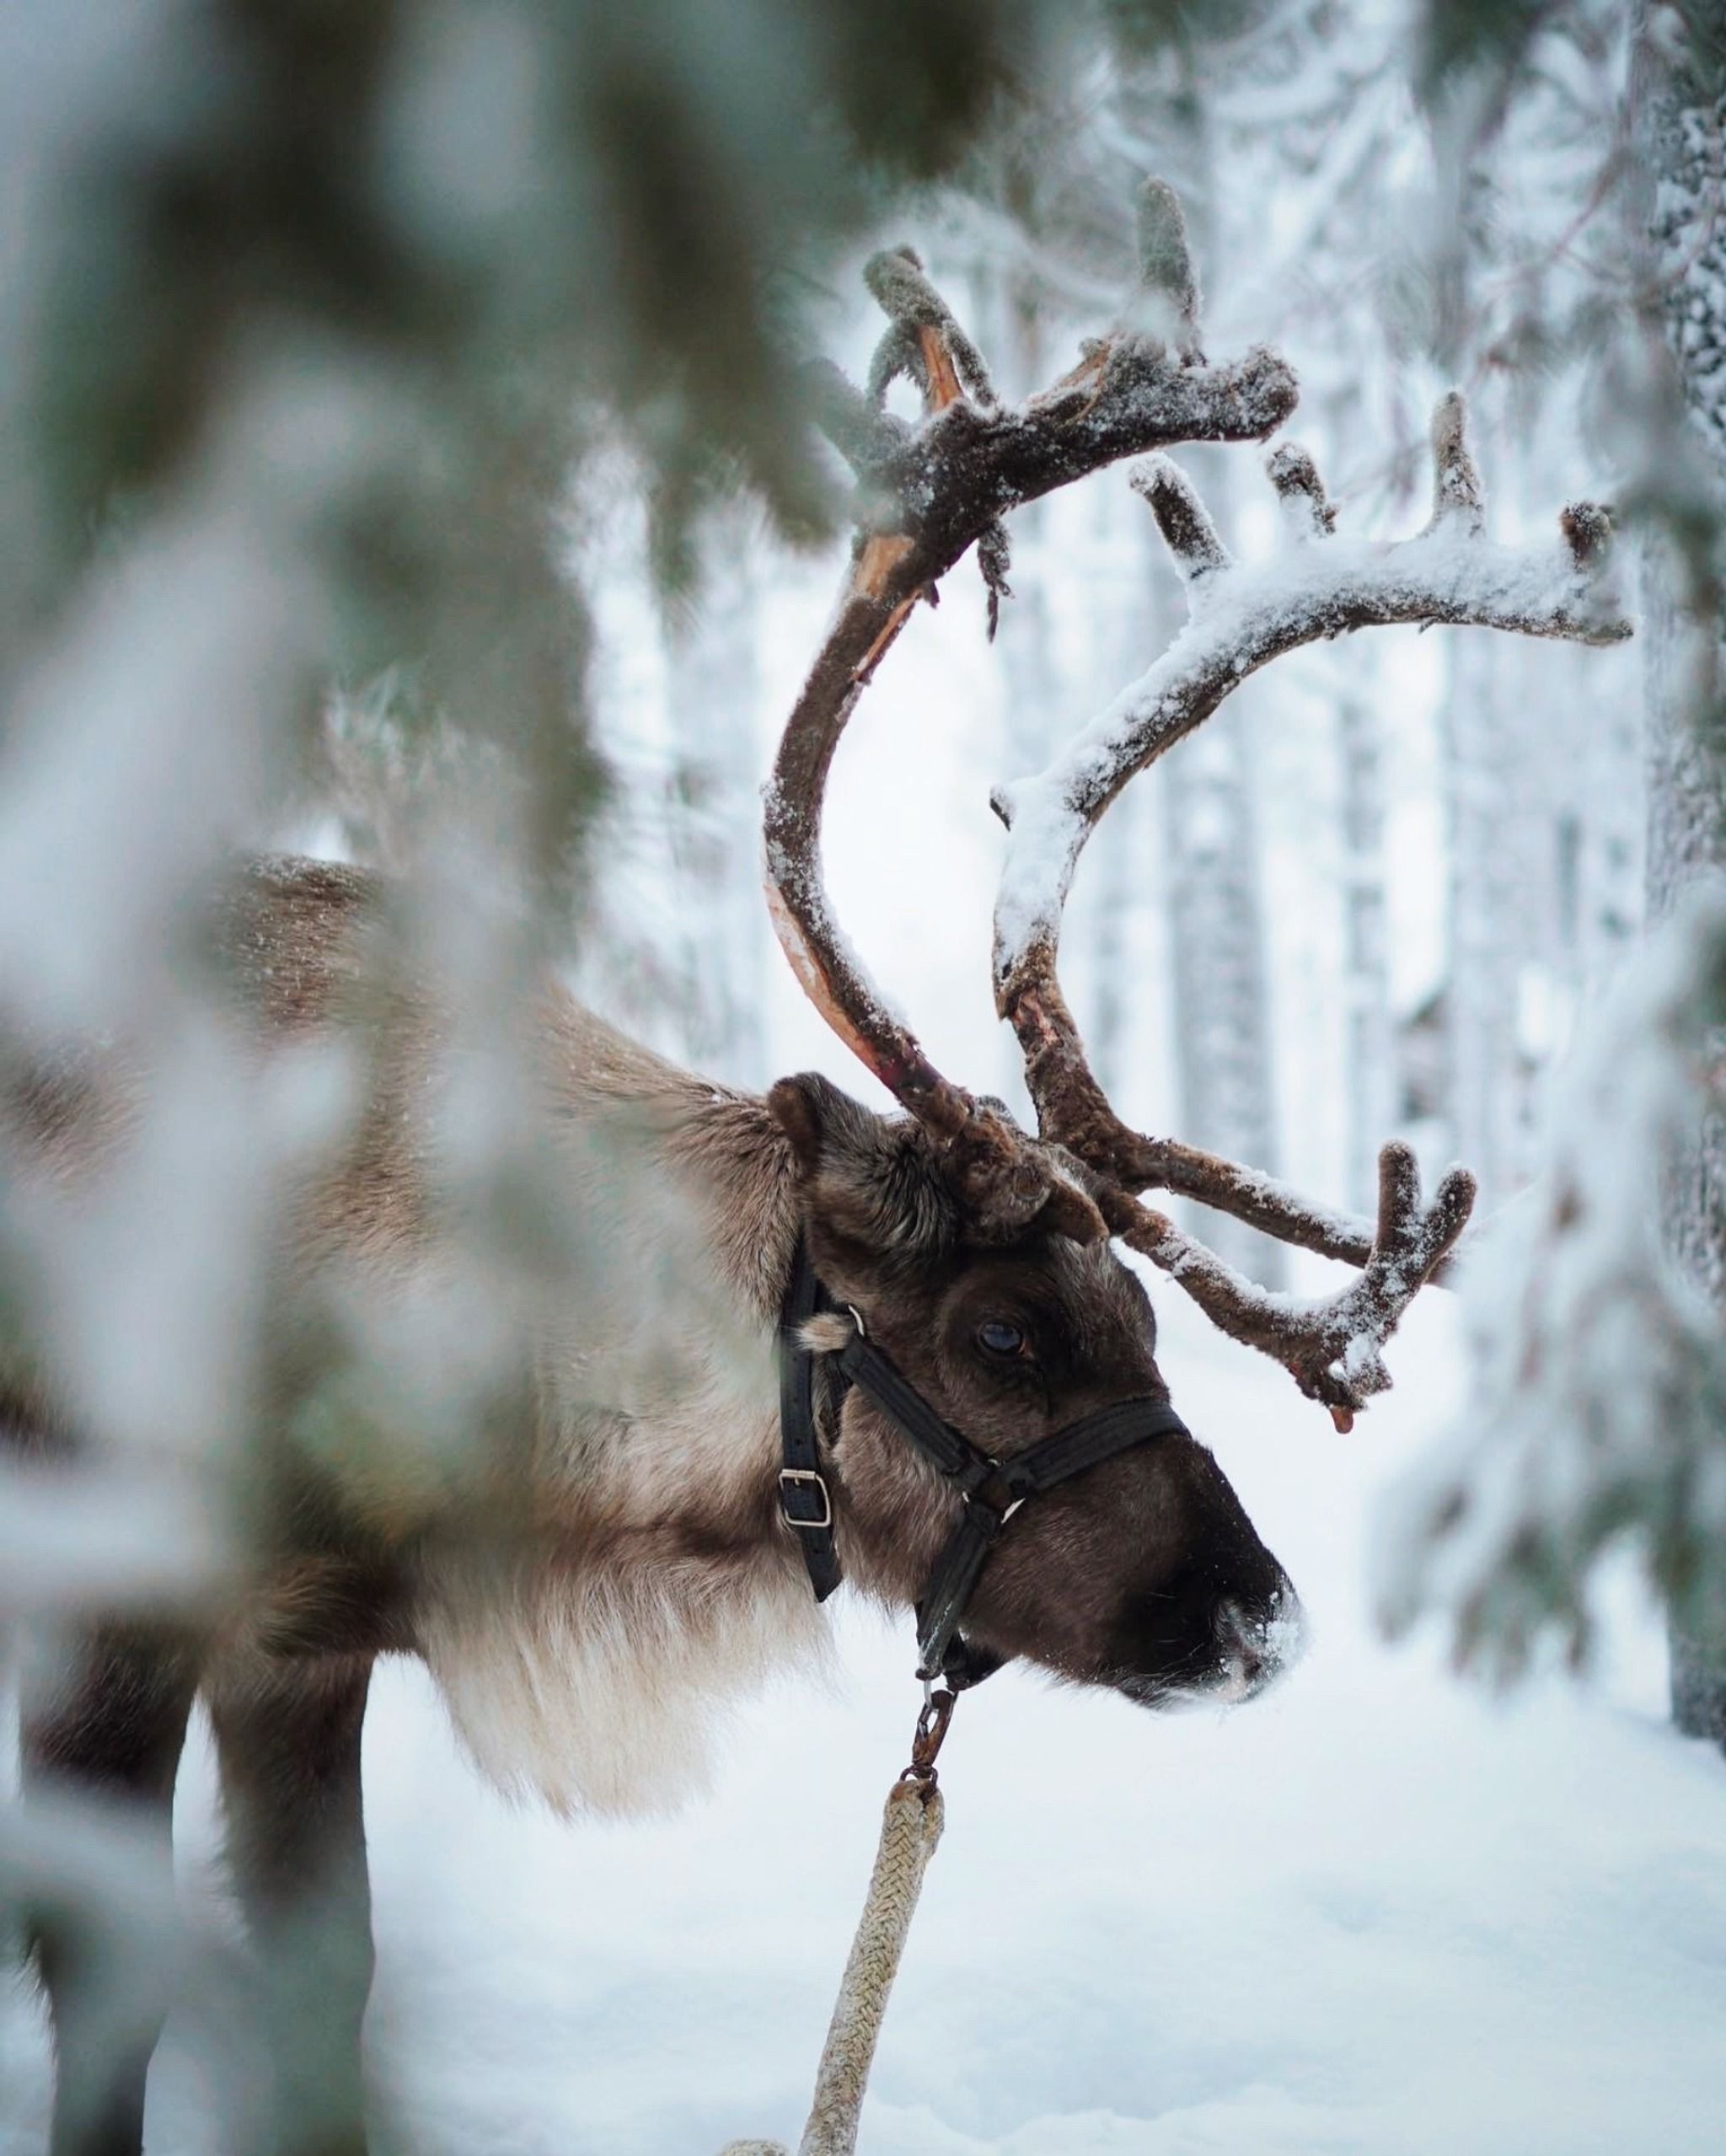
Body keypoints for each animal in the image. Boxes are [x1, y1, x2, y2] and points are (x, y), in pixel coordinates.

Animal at [5, 182, 1629, 2156]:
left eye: (1147, 1316)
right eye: (1004, 1334)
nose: (1263, 1617)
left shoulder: (300, 1653)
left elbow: (335, 1986)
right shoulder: (110, 1623)